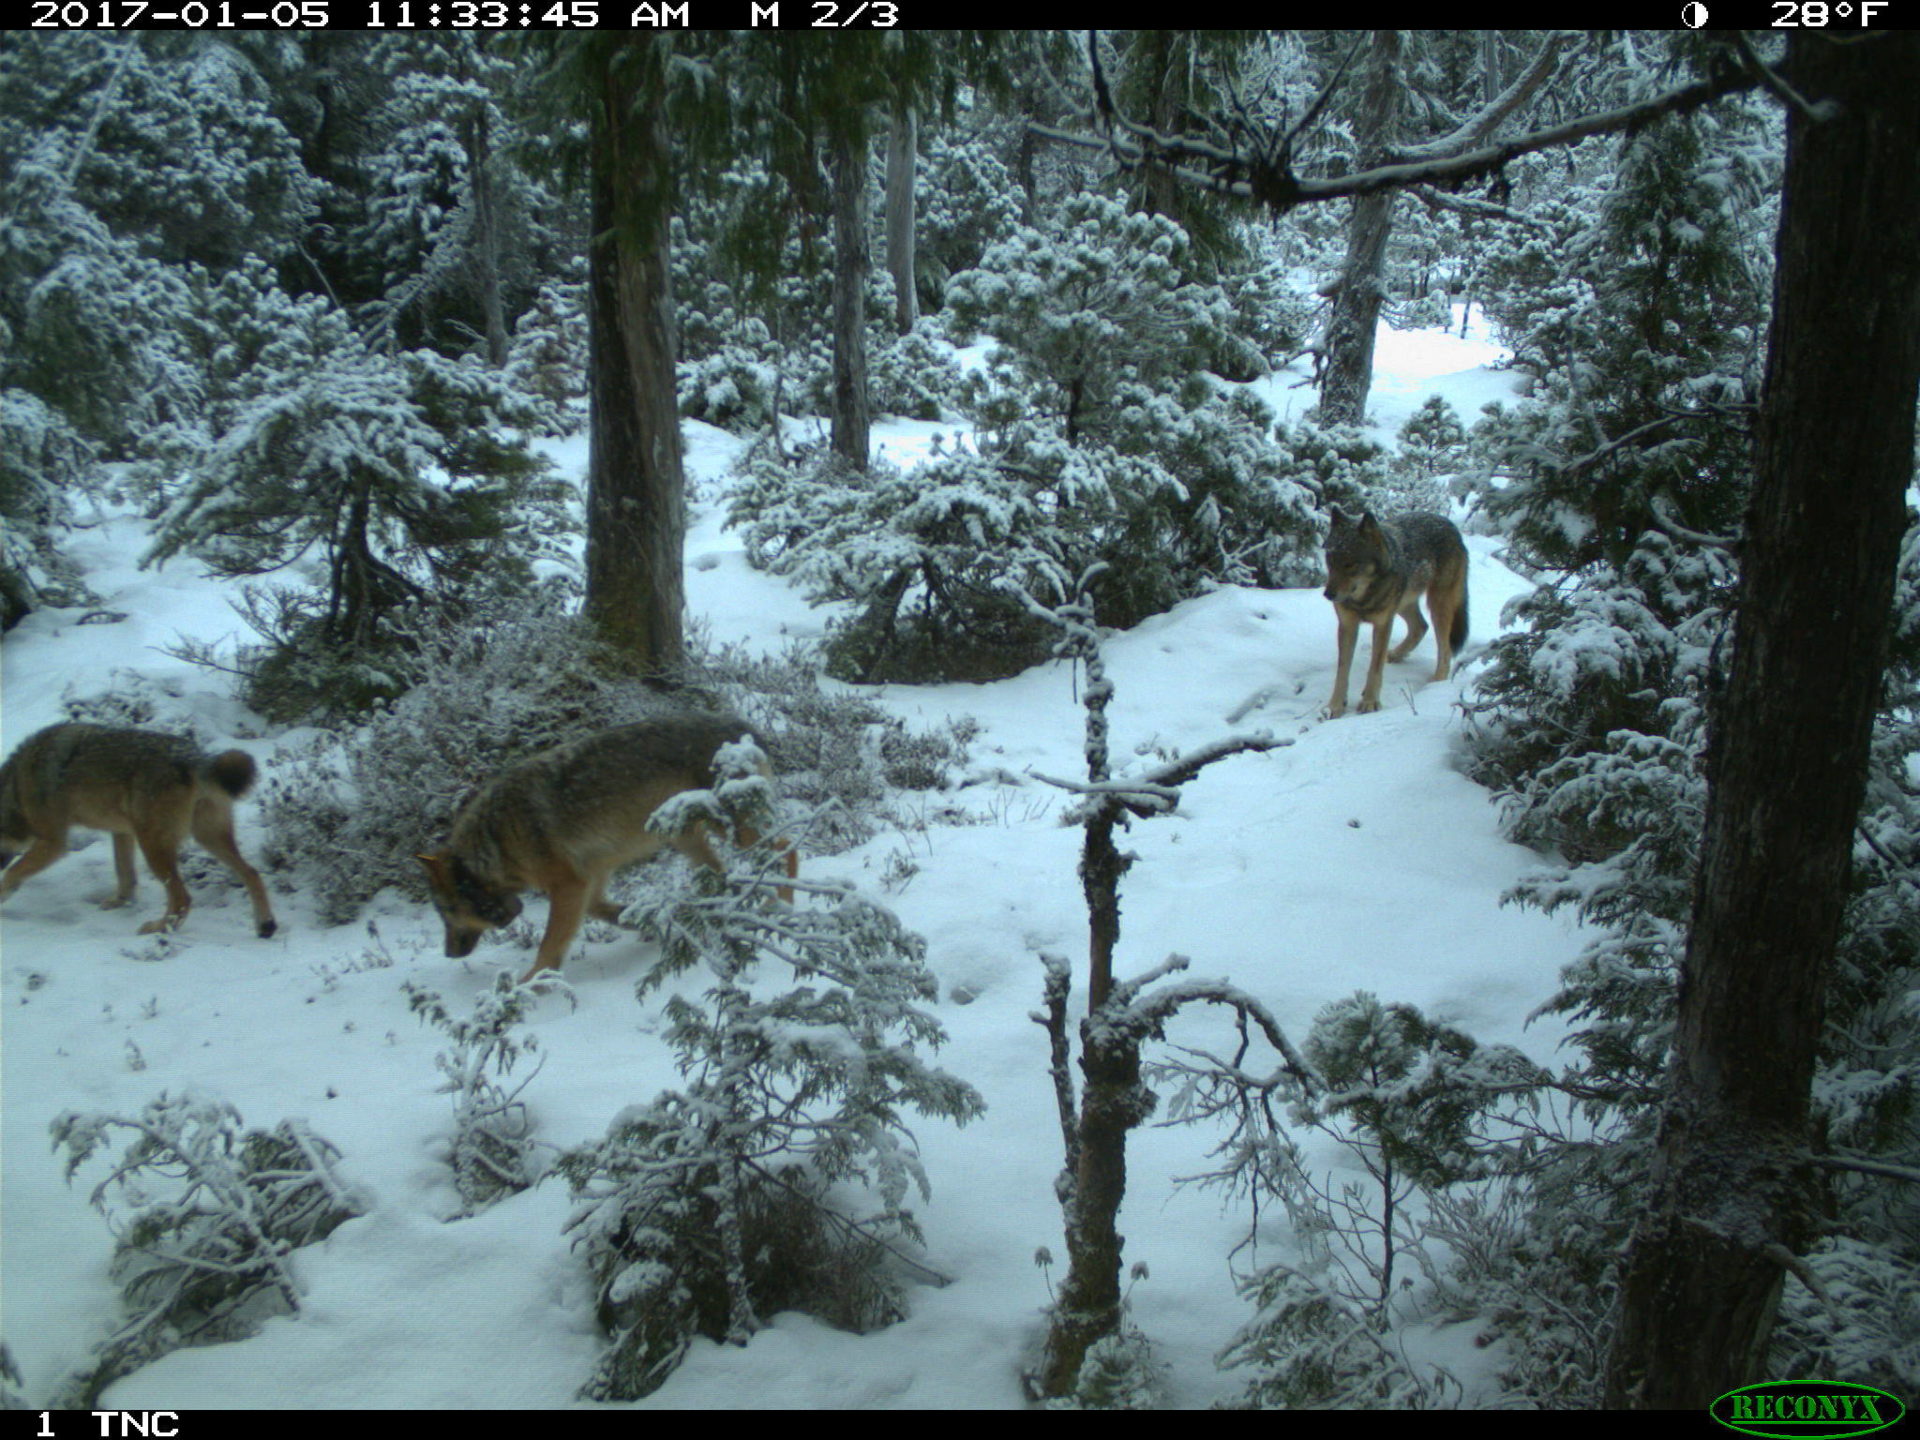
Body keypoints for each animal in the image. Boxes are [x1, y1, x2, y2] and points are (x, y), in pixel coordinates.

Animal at [0, 723, 279, 938]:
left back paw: (158, 928)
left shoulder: (53, 842)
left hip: (155, 847)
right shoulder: (122, 832)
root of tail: (193, 756)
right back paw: (265, 925)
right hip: (206, 838)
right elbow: (125, 875)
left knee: (182, 899)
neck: (15, 788)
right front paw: (119, 902)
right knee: (252, 873)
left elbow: (12, 872)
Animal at [416, 714, 797, 982]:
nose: (448, 953)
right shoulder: (592, 877)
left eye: (446, 913)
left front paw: (531, 983)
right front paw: (648, 922)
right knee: (723, 875)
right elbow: (605, 911)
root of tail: (744, 728)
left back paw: (780, 907)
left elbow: (549, 943)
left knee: (787, 847)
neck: (498, 841)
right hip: (685, 837)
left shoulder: (570, 884)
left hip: (730, 830)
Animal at [1322, 506, 1469, 718]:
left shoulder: (1383, 624)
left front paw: (1370, 702)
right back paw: (1396, 654)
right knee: (1420, 627)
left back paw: (1436, 681)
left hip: (1437, 605)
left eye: (1350, 564)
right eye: (1330, 561)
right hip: (1403, 603)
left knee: (1445, 647)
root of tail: (1449, 524)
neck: (1362, 600)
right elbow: (1342, 672)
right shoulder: (1347, 625)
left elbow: (1375, 668)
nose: (1328, 594)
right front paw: (1335, 706)